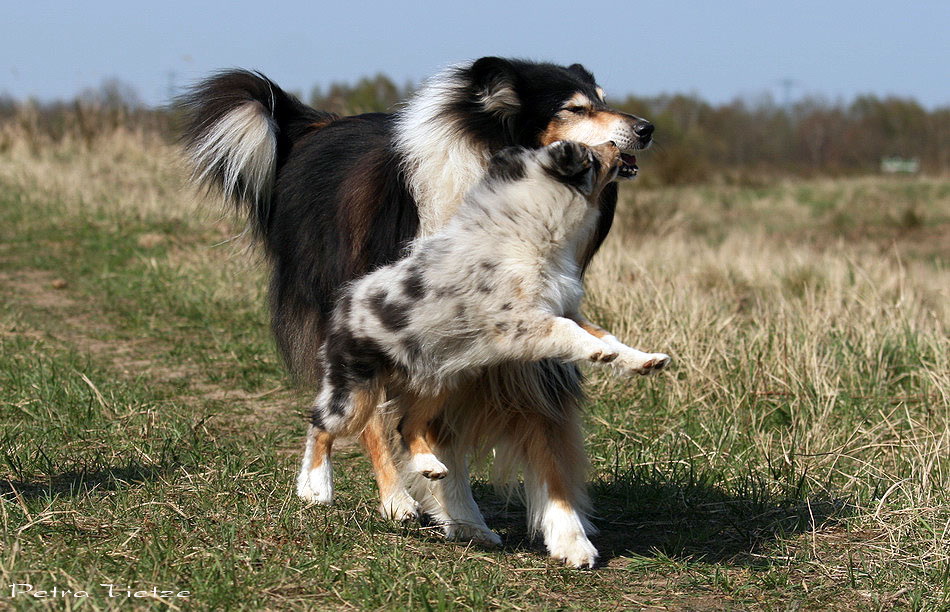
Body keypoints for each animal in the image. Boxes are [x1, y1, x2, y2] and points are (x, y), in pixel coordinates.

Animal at [184, 58, 660, 568]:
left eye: (605, 100)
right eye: (575, 109)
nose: (646, 129)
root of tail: (317, 124)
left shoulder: (537, 349)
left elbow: (556, 425)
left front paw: (568, 536)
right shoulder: (515, 327)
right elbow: (566, 338)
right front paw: (458, 515)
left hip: (434, 373)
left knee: (407, 425)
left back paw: (433, 478)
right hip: (366, 367)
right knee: (343, 423)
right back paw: (346, 490)